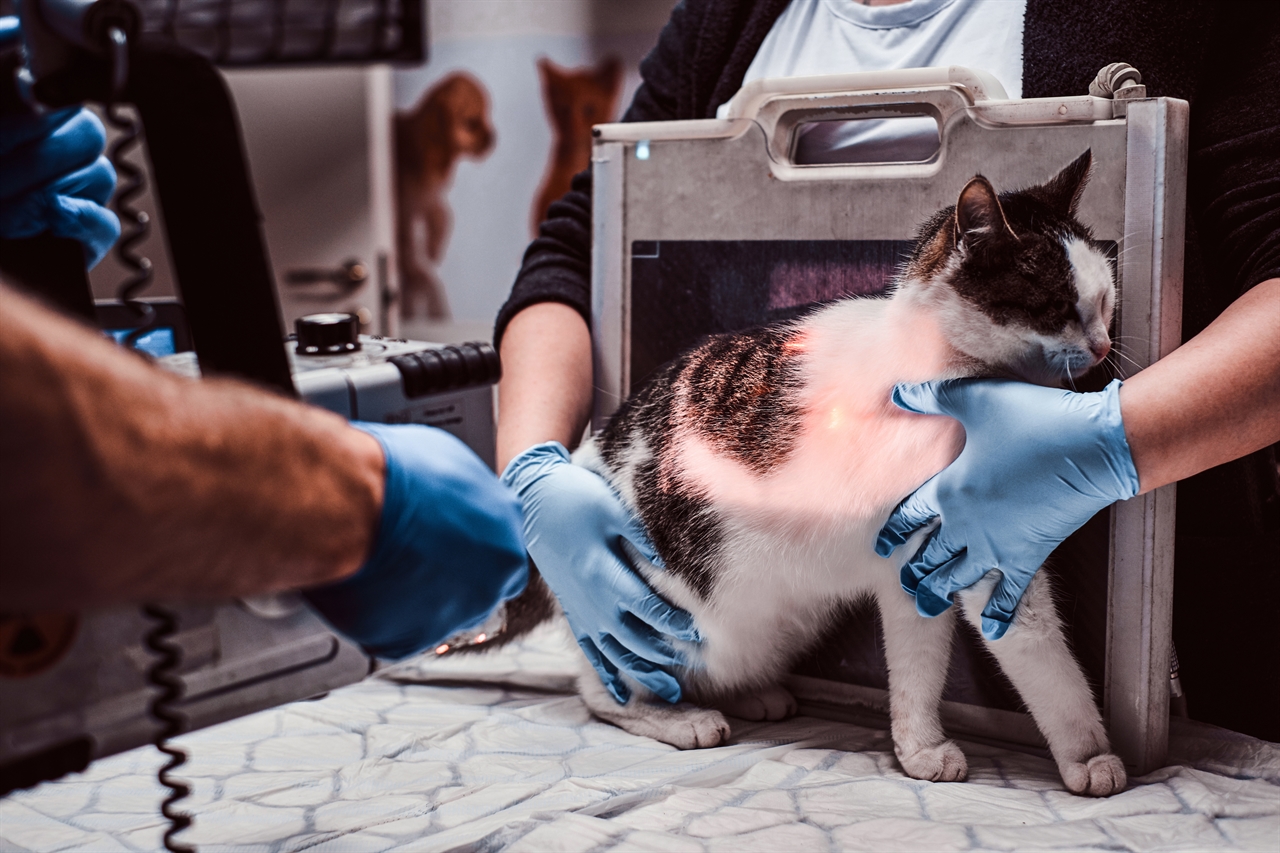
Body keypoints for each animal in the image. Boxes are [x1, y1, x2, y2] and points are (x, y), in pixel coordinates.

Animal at [488, 151, 1121, 799]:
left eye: (1105, 302)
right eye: (1060, 308)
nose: (1103, 346)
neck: (938, 373)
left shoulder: (917, 564)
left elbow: (918, 668)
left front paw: (919, 746)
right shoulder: (977, 555)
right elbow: (1043, 656)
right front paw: (1090, 754)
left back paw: (754, 696)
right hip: (652, 622)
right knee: (601, 687)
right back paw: (678, 718)